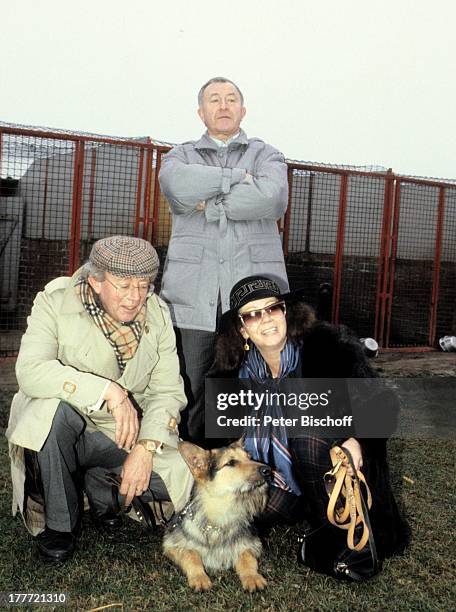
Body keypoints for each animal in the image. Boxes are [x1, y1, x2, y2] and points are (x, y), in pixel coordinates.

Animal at [163, 440, 270, 592]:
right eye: (231, 462)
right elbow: (191, 555)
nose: (268, 470)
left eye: (250, 457)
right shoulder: (172, 544)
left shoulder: (250, 544)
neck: (221, 515)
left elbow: (247, 557)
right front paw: (199, 577)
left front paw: (252, 576)